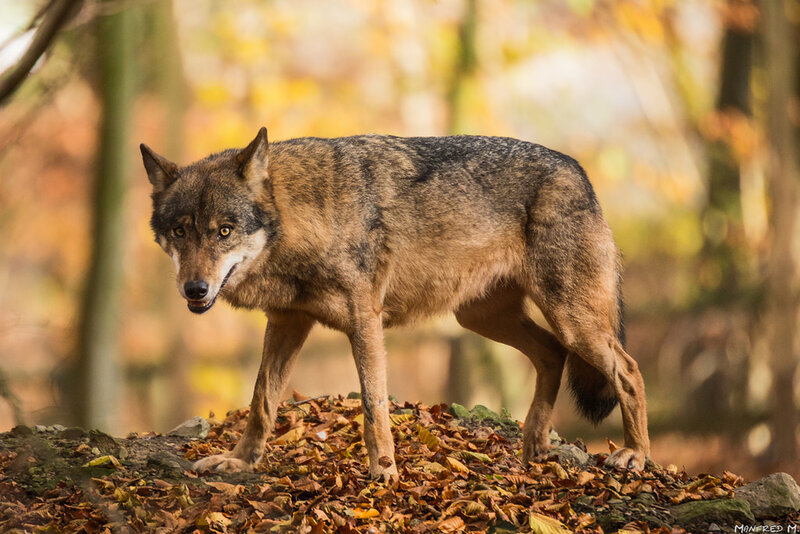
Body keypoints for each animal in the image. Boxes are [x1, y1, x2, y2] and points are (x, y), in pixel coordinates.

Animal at [140, 128, 650, 478]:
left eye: (224, 231)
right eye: (180, 232)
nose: (195, 290)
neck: (300, 218)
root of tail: (577, 170)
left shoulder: (365, 322)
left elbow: (373, 405)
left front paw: (383, 472)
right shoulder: (288, 322)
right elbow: (262, 399)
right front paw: (240, 462)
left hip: (570, 320)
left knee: (627, 369)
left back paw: (634, 455)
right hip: (481, 317)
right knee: (551, 354)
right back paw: (533, 447)